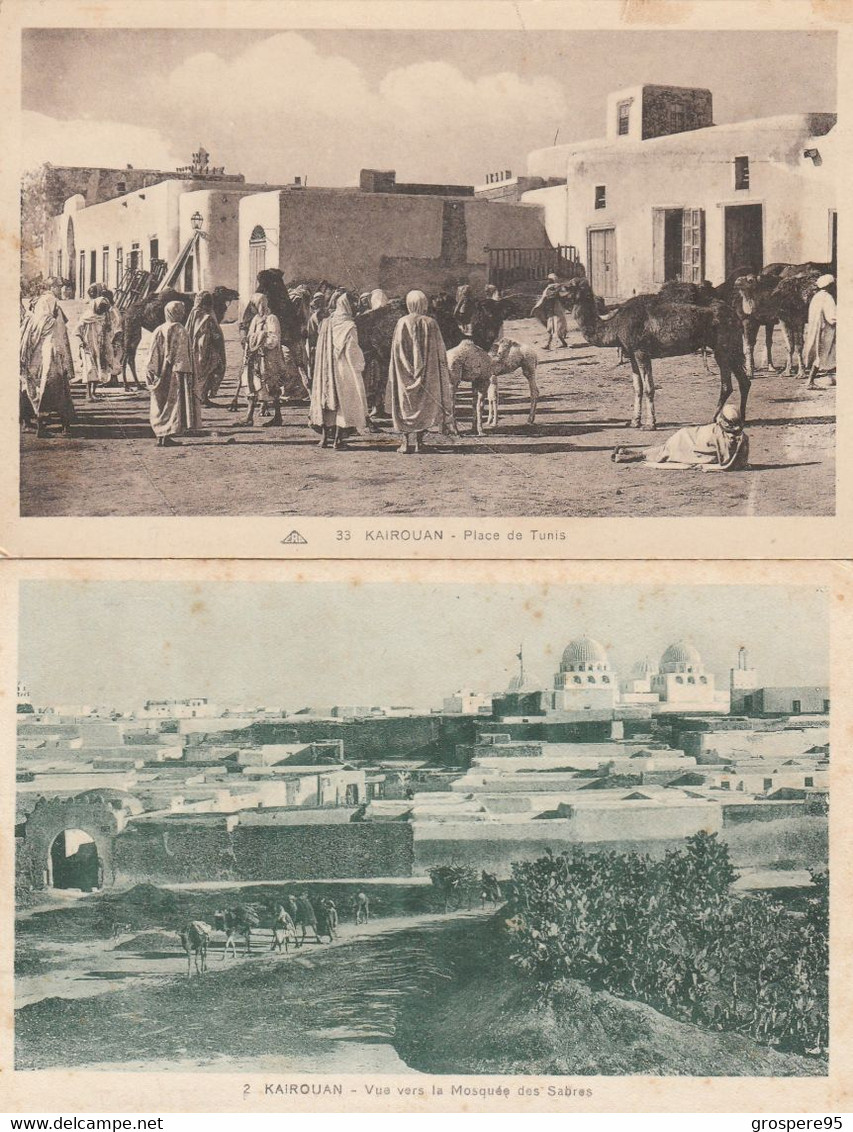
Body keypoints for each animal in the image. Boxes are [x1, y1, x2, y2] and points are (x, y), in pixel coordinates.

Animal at [561, 277, 746, 427]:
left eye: (566, 287)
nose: (554, 291)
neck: (615, 325)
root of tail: (733, 314)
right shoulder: (632, 354)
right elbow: (637, 388)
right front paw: (634, 421)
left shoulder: (642, 352)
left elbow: (649, 388)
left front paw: (650, 424)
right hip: (731, 348)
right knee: (743, 381)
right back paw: (742, 417)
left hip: (723, 347)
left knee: (727, 385)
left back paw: (713, 418)